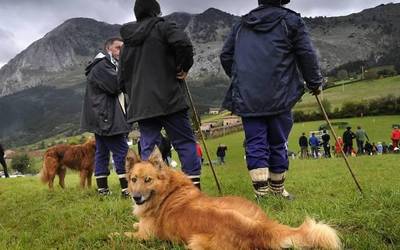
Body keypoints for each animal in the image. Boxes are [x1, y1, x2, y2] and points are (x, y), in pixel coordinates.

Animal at [122, 148, 340, 250]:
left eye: (148, 180)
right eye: (133, 180)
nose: (136, 197)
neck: (168, 191)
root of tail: (259, 229)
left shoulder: (147, 236)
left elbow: (124, 234)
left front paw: (120, 233)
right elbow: (135, 224)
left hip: (194, 244)